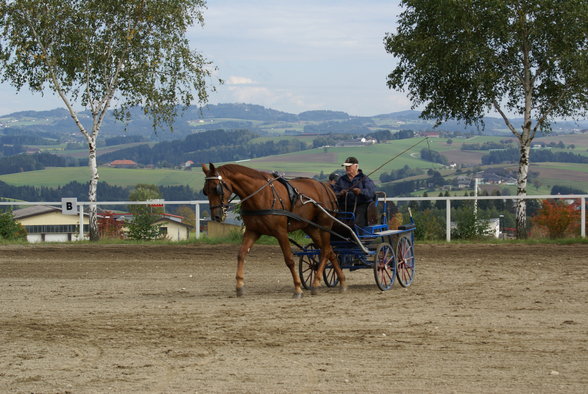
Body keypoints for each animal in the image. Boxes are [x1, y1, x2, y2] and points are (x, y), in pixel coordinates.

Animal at [201, 162, 344, 298]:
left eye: (216, 188)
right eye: (205, 191)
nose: (216, 216)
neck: (260, 195)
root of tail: (326, 187)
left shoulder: (281, 232)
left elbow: (289, 260)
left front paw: (298, 289)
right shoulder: (252, 231)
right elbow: (241, 254)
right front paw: (239, 286)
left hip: (325, 226)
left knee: (325, 251)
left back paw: (317, 283)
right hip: (310, 227)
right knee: (330, 251)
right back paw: (340, 281)